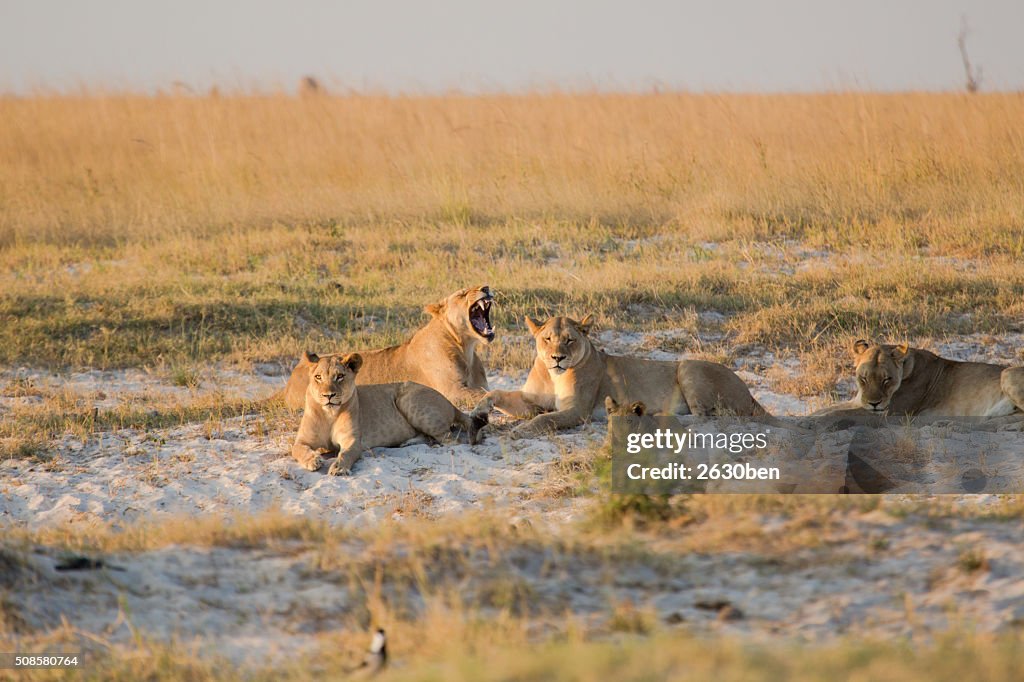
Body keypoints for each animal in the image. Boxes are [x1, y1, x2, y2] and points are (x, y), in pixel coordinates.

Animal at [292, 350, 491, 473]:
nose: (329, 395)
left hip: (408, 399)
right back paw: (406, 443)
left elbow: (346, 454)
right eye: (318, 377)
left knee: (451, 440)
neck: (329, 415)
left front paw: (338, 468)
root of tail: (449, 402)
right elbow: (298, 450)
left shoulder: (353, 441)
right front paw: (313, 460)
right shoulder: (303, 440)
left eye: (340, 376)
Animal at [487, 313, 770, 436]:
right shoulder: (530, 400)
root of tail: (750, 394)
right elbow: (497, 394)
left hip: (688, 366)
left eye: (569, 340)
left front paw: (519, 431)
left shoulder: (577, 411)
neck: (553, 376)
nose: (558, 358)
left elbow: (543, 420)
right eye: (547, 339)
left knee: (703, 418)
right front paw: (482, 405)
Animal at [819, 337, 1024, 417]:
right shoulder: (857, 401)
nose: (874, 403)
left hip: (1006, 373)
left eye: (887, 379)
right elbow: (825, 410)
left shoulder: (891, 412)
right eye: (864, 378)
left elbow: (834, 414)